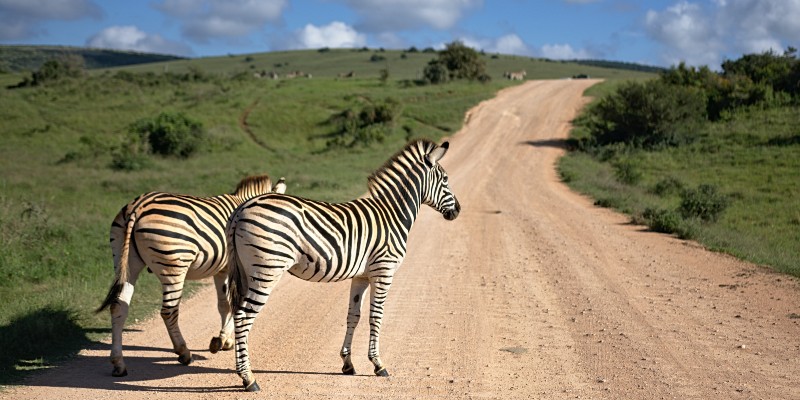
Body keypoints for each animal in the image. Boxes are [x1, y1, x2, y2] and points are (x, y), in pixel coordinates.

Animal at [95, 173, 286, 376]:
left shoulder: (222, 270)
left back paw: (118, 363)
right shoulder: (233, 268)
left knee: (118, 307)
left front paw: (223, 340)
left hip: (125, 262)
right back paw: (184, 352)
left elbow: (224, 305)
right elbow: (233, 304)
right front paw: (223, 340)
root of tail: (138, 206)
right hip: (173, 266)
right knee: (169, 311)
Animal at [228, 140, 460, 390]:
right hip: (266, 270)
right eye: (445, 179)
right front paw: (378, 364)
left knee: (237, 313)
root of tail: (242, 208)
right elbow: (376, 316)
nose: (457, 210)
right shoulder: (384, 271)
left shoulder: (361, 276)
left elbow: (353, 315)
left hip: (246, 271)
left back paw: (243, 372)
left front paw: (347, 364)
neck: (392, 214)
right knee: (243, 316)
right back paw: (248, 378)